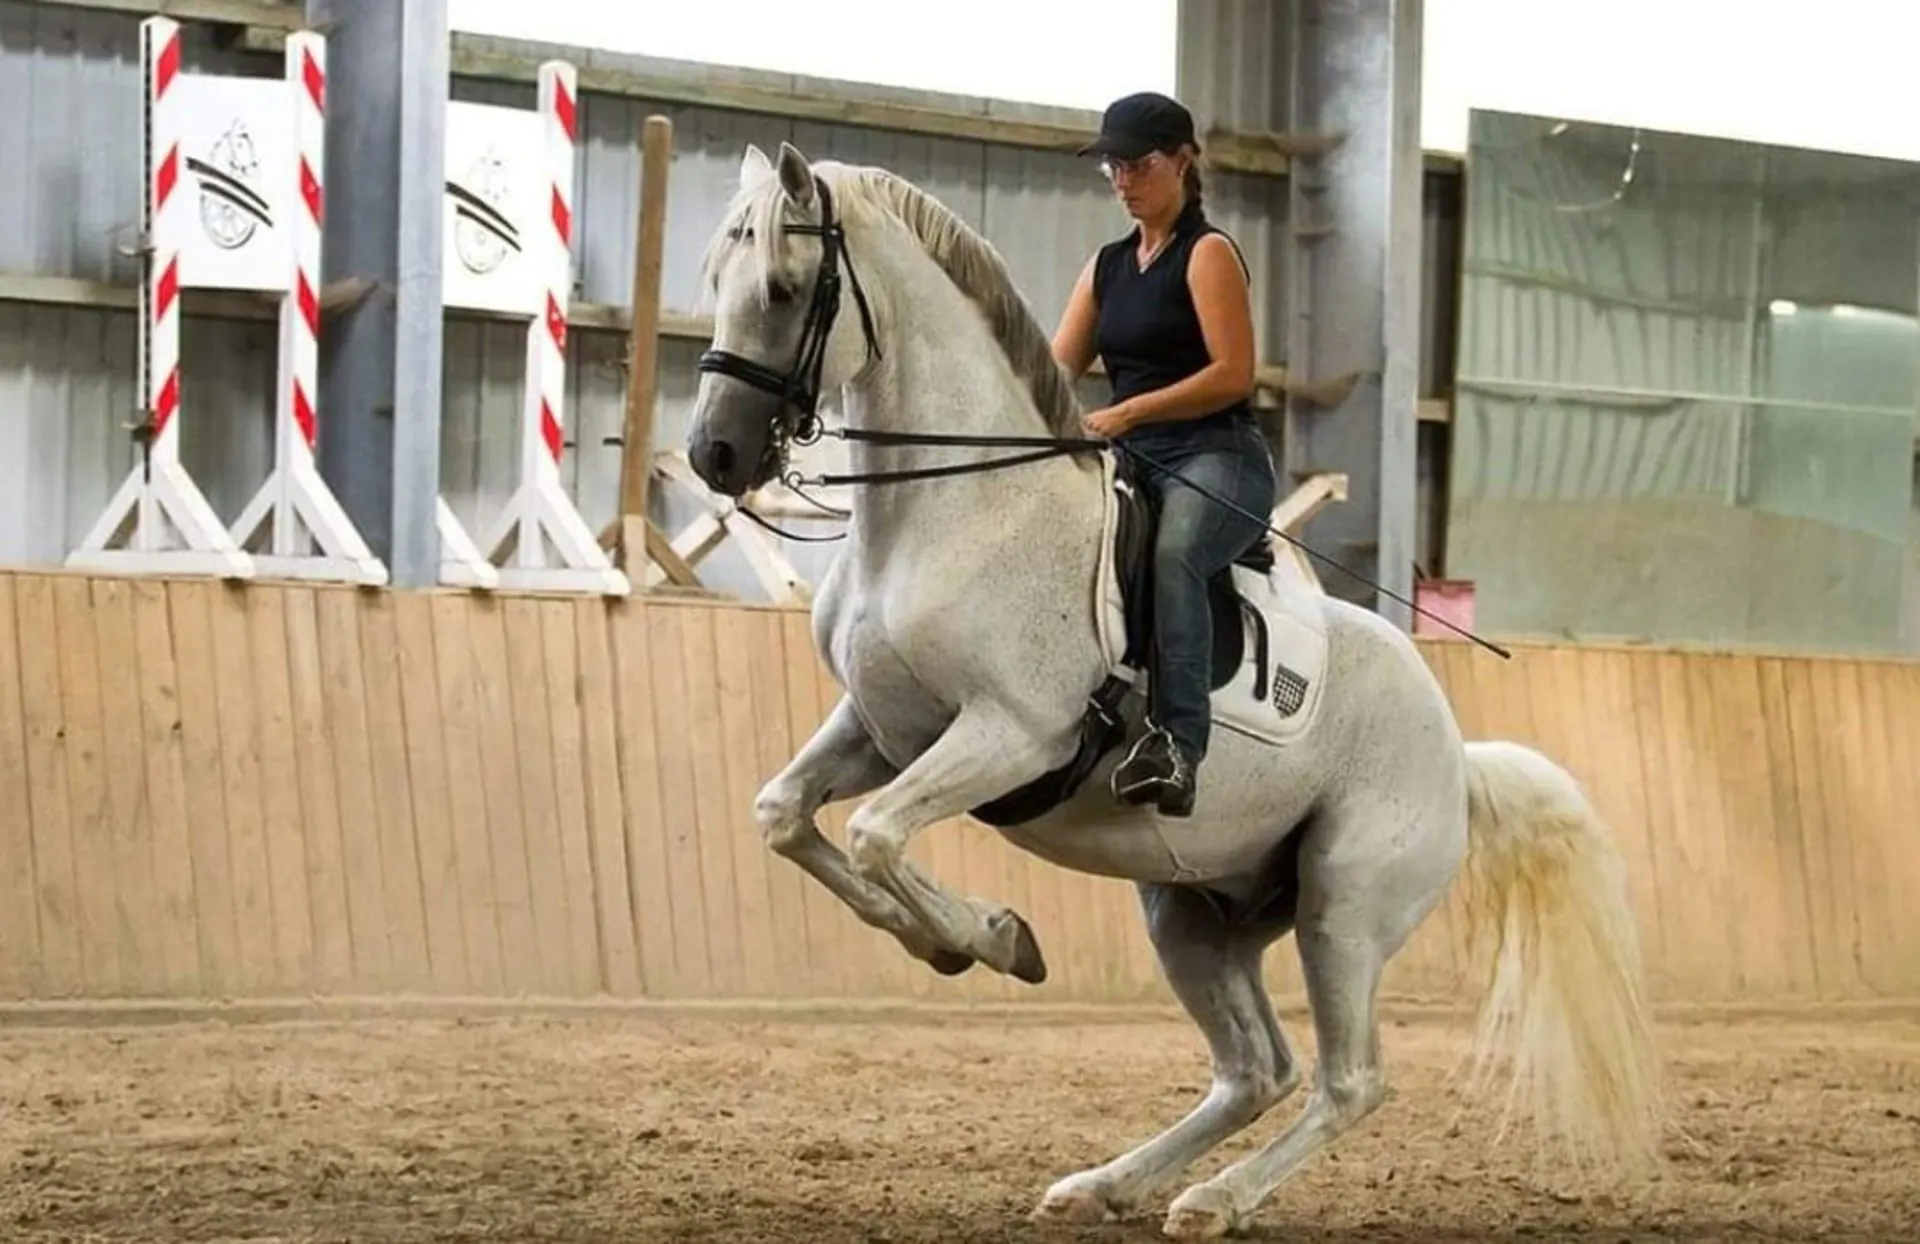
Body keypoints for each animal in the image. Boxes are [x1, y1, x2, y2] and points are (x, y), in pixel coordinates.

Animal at [682, 140, 1663, 1239]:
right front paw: (952, 946)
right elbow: (785, 816)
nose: (715, 455)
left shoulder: (1008, 735)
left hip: (1344, 905)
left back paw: (1213, 1198)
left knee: (1348, 1080)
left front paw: (995, 937)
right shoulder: (879, 727)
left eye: (781, 286)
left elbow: (875, 834)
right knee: (1256, 1069)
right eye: (717, 281)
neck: (962, 511)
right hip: (1193, 912)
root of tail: (1458, 756)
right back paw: (1108, 1183)